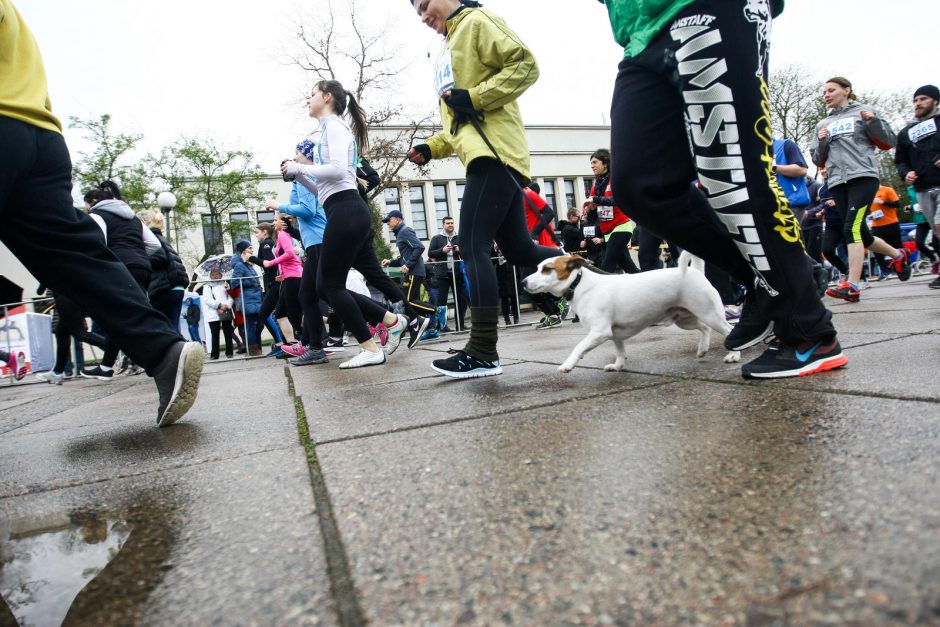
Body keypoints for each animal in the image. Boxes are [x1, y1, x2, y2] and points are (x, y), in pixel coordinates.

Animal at [520, 253, 740, 372]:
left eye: (547, 269)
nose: (522, 282)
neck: (579, 284)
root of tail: (696, 271)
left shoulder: (600, 332)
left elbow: (579, 347)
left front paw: (568, 364)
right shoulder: (614, 334)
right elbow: (620, 351)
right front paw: (617, 366)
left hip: (710, 314)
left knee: (729, 331)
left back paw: (733, 356)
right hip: (686, 320)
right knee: (704, 329)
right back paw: (703, 349)